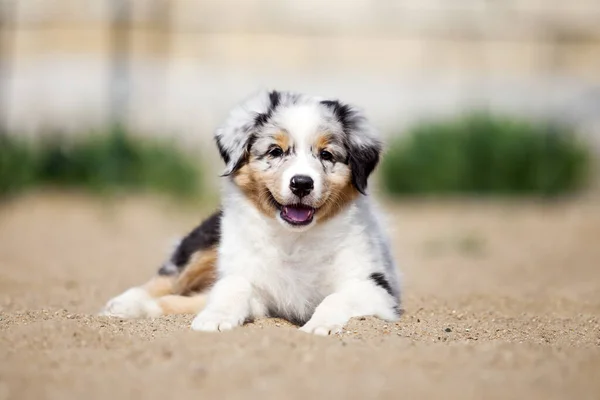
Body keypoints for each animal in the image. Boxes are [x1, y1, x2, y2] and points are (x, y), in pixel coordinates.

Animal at [101, 90, 404, 334]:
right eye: (275, 151)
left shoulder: (376, 287)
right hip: (208, 240)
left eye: (326, 155)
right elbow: (233, 287)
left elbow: (337, 297)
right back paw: (124, 304)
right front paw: (215, 317)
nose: (302, 183)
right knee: (169, 279)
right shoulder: (248, 279)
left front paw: (320, 325)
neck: (293, 240)